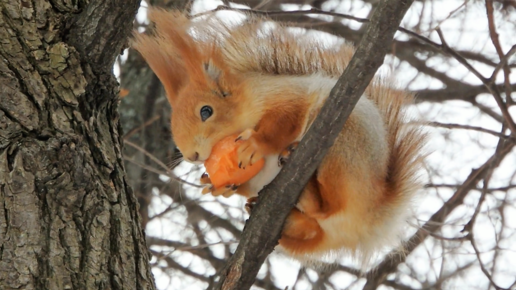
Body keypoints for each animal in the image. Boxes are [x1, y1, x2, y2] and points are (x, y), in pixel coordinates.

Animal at [133, 8, 428, 266]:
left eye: (206, 111)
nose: (192, 156)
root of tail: (373, 215)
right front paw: (214, 185)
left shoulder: (287, 98)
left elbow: (283, 123)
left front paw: (255, 144)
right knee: (313, 227)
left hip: (343, 146)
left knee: (328, 206)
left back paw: (306, 186)